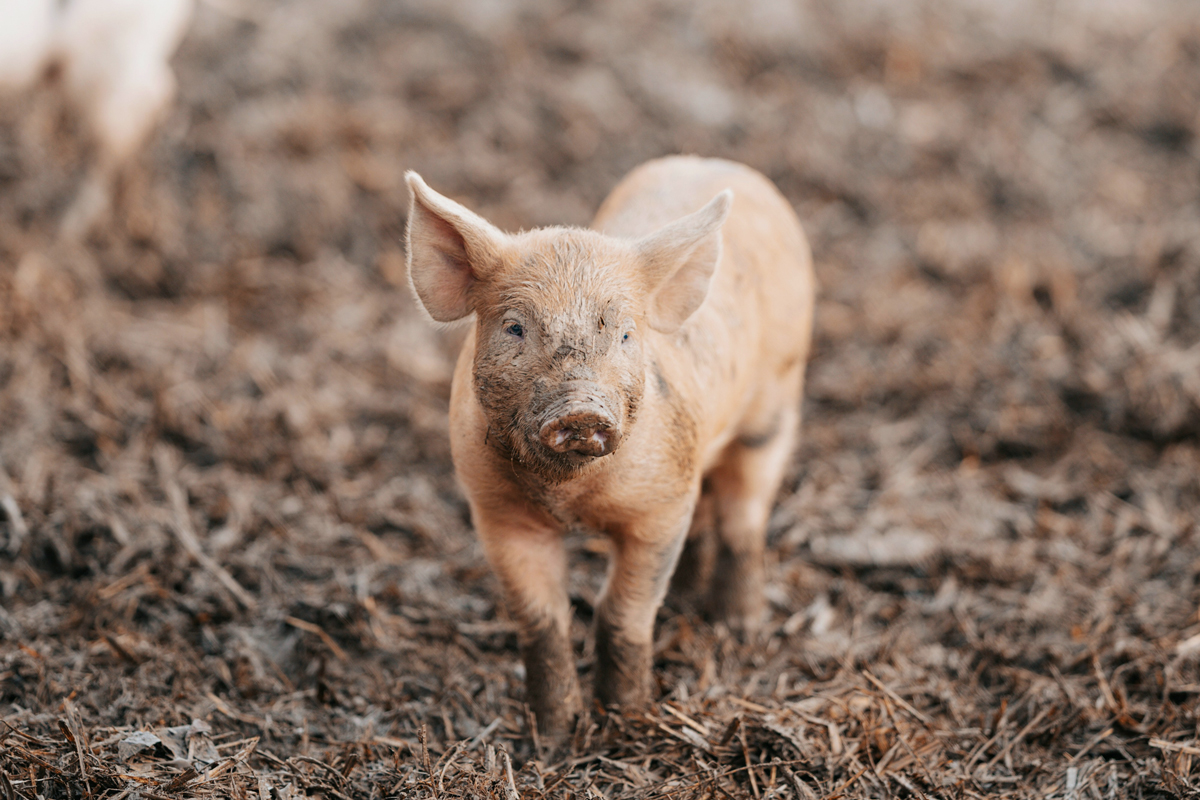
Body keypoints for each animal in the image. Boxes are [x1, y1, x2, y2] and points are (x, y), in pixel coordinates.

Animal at [405, 156, 814, 743]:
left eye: (624, 335)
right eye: (515, 327)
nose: (581, 411)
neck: (572, 501)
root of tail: (720, 164)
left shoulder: (658, 507)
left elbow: (622, 611)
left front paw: (626, 722)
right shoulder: (496, 512)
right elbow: (541, 620)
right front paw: (551, 741)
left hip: (775, 409)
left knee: (745, 517)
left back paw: (738, 628)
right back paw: (687, 599)